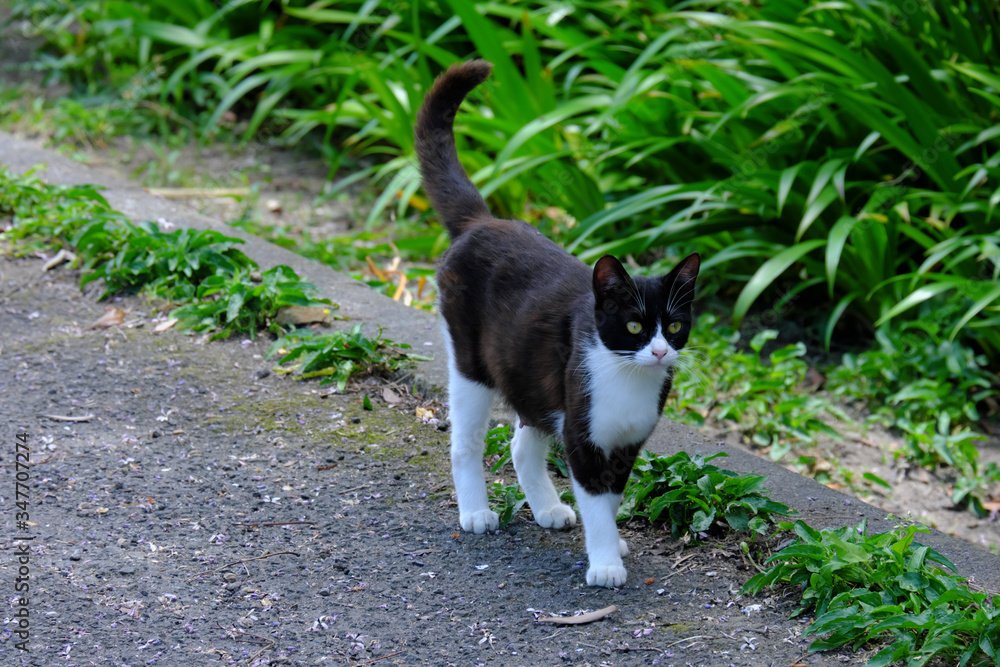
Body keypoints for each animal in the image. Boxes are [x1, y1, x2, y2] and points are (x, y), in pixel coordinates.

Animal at [410, 60, 700, 588]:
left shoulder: (626, 442)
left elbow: (611, 496)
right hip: (473, 361)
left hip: (534, 370)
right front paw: (605, 562)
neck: (625, 376)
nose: (659, 352)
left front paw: (610, 542)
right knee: (466, 439)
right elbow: (596, 499)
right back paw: (476, 512)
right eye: (633, 327)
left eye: (673, 327)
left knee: (524, 444)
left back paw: (548, 508)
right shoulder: (584, 431)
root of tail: (482, 222)